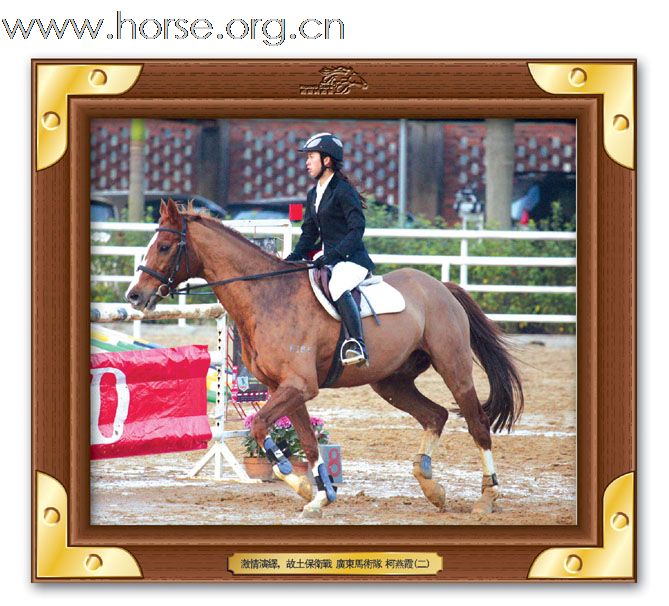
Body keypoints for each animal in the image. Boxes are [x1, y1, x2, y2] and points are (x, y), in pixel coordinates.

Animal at [125, 199, 524, 518]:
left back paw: (487, 497)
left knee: (477, 425)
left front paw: (302, 487)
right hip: (390, 382)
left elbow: (260, 427)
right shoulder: (285, 388)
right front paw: (320, 495)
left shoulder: (300, 386)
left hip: (453, 368)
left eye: (164, 246)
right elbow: (306, 441)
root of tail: (441, 288)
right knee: (435, 415)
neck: (266, 296)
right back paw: (432, 487)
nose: (134, 296)